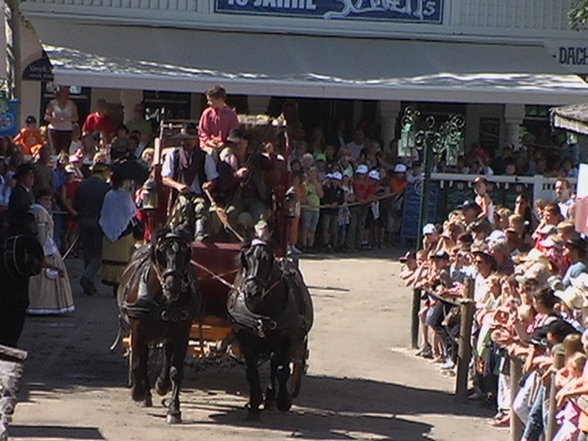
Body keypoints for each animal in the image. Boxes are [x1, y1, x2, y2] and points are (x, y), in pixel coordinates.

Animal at [116, 230, 200, 422]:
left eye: (184, 254)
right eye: (161, 254)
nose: (172, 287)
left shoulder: (181, 334)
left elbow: (176, 370)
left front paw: (174, 410)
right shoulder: (137, 331)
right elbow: (138, 362)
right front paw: (138, 393)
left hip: (167, 335)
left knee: (166, 357)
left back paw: (161, 384)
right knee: (143, 358)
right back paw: (144, 393)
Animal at [227, 239, 314, 418]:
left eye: (268, 261)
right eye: (246, 259)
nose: (252, 292)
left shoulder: (289, 338)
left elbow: (282, 369)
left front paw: (283, 401)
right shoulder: (245, 338)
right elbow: (251, 372)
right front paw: (254, 404)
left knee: (277, 364)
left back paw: (272, 397)